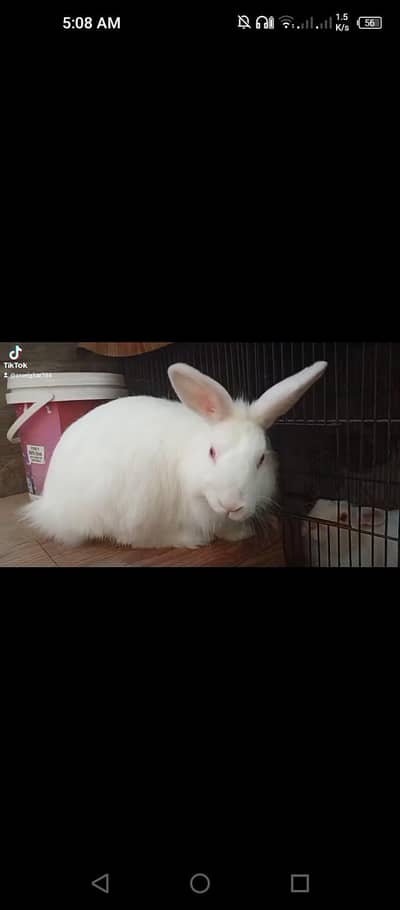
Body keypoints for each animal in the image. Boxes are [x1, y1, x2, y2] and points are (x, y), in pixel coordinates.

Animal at [20, 360, 328, 549]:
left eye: (261, 459)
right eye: (212, 452)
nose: (231, 504)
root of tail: (51, 503)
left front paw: (242, 533)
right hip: (128, 503)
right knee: (131, 538)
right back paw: (189, 540)